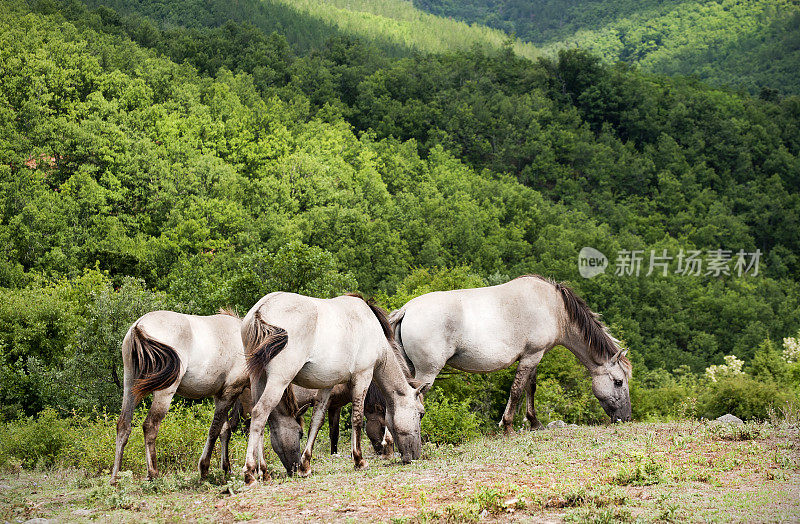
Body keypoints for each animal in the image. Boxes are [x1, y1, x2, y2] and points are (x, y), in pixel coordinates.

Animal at [109, 310, 304, 486]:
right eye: (300, 433)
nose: (295, 469)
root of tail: (139, 326)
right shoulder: (231, 392)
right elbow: (216, 429)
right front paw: (205, 469)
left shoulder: (221, 394)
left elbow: (225, 430)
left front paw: (227, 469)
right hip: (165, 391)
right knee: (150, 426)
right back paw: (153, 474)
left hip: (130, 386)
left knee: (123, 426)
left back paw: (114, 478)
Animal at [241, 290, 424, 484]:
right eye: (420, 414)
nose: (415, 455)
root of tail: (261, 309)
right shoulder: (363, 376)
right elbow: (356, 418)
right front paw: (359, 460)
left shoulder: (326, 386)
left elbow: (317, 421)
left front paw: (305, 466)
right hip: (279, 380)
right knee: (260, 413)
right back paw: (249, 473)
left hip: (258, 379)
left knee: (261, 421)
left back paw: (264, 472)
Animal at [390, 274, 636, 434]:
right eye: (618, 382)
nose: (625, 418)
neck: (553, 307)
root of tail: (406, 310)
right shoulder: (531, 356)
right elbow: (517, 390)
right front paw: (507, 425)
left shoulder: (534, 356)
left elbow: (530, 388)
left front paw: (534, 423)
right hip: (426, 373)